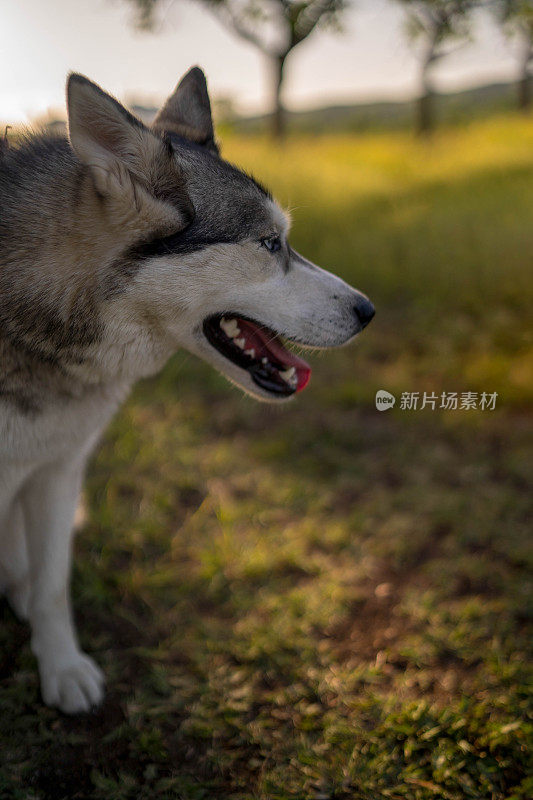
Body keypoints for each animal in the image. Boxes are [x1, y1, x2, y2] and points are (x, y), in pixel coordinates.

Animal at [0, 67, 374, 712]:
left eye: (285, 240)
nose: (367, 311)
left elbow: (52, 586)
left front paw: (63, 667)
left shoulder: (58, 470)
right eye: (269, 244)